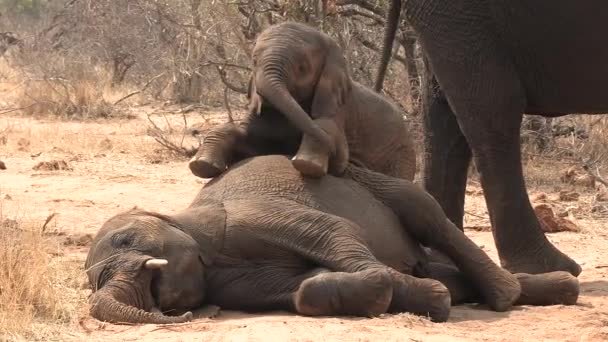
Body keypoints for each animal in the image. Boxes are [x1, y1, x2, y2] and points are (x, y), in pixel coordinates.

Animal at [85, 155, 580, 324]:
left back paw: (504, 294)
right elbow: (301, 292)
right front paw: (418, 297)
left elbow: (335, 233)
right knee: (442, 268)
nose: (186, 315)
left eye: (126, 239)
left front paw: (430, 300)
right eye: (92, 283)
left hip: (368, 178)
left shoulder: (247, 216)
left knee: (426, 216)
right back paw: (556, 290)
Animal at [190, 20, 418, 182]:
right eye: (254, 61)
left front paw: (308, 165)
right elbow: (247, 138)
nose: (347, 162)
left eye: (302, 68)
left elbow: (323, 125)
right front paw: (202, 165)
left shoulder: (338, 107)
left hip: (402, 154)